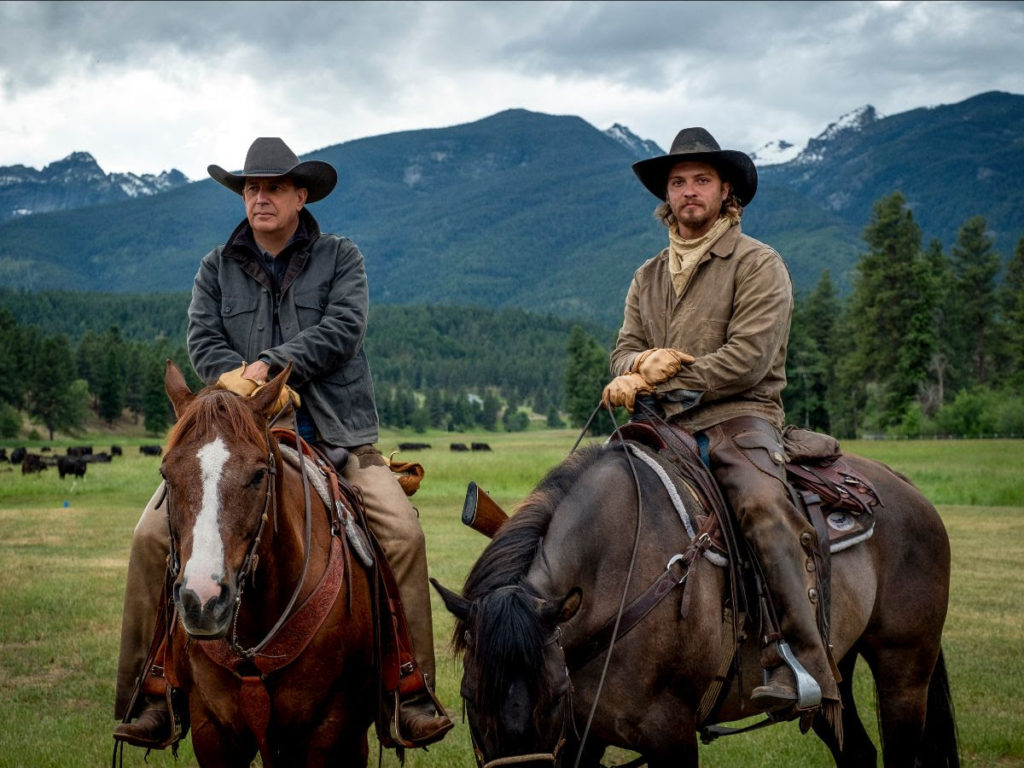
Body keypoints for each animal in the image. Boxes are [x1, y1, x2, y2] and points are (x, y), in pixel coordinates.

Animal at [434, 438, 958, 768]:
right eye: (468, 696)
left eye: (556, 694)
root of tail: (905, 487)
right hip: (835, 674)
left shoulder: (670, 734)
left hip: (904, 671)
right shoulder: (581, 738)